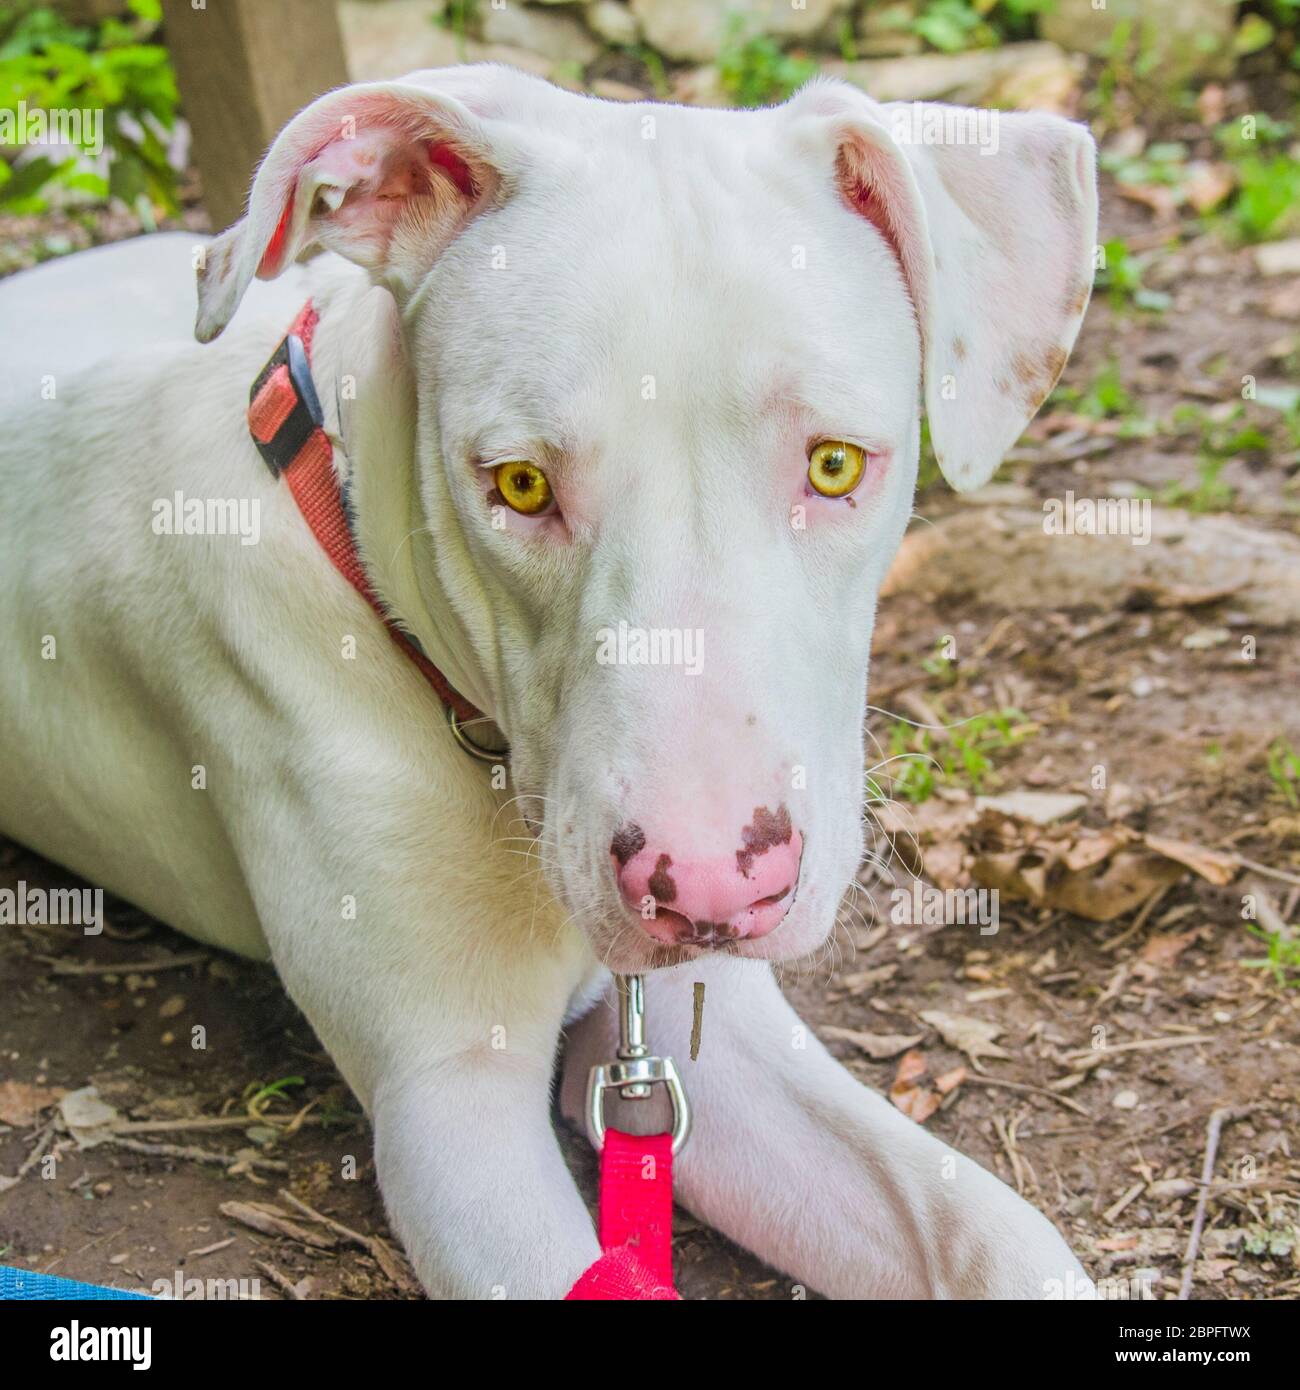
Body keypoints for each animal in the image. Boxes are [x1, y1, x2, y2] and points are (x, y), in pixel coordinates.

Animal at [0, 67, 1095, 1301]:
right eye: (519, 484)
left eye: (833, 465)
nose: (705, 888)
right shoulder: (448, 1106)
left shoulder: (717, 1035)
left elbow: (993, 1232)